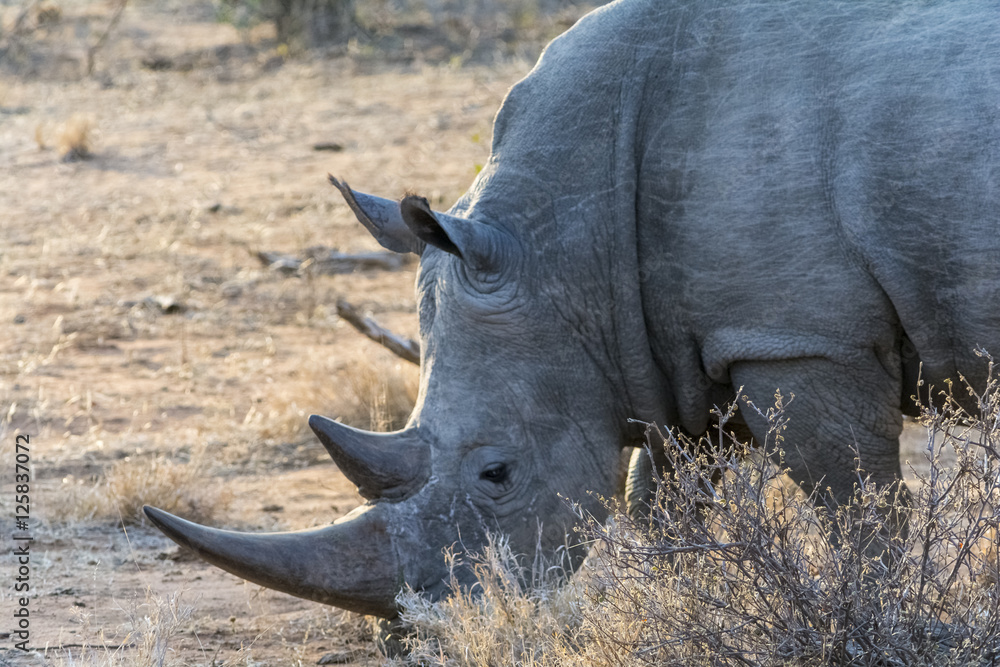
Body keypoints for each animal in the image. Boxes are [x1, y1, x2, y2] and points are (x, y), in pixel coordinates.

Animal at [144, 0, 1000, 618]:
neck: (565, 247)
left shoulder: (800, 338)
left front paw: (882, 612)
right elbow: (659, 500)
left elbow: (857, 507)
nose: (424, 630)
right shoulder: (679, 346)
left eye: (497, 473)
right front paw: (681, 604)